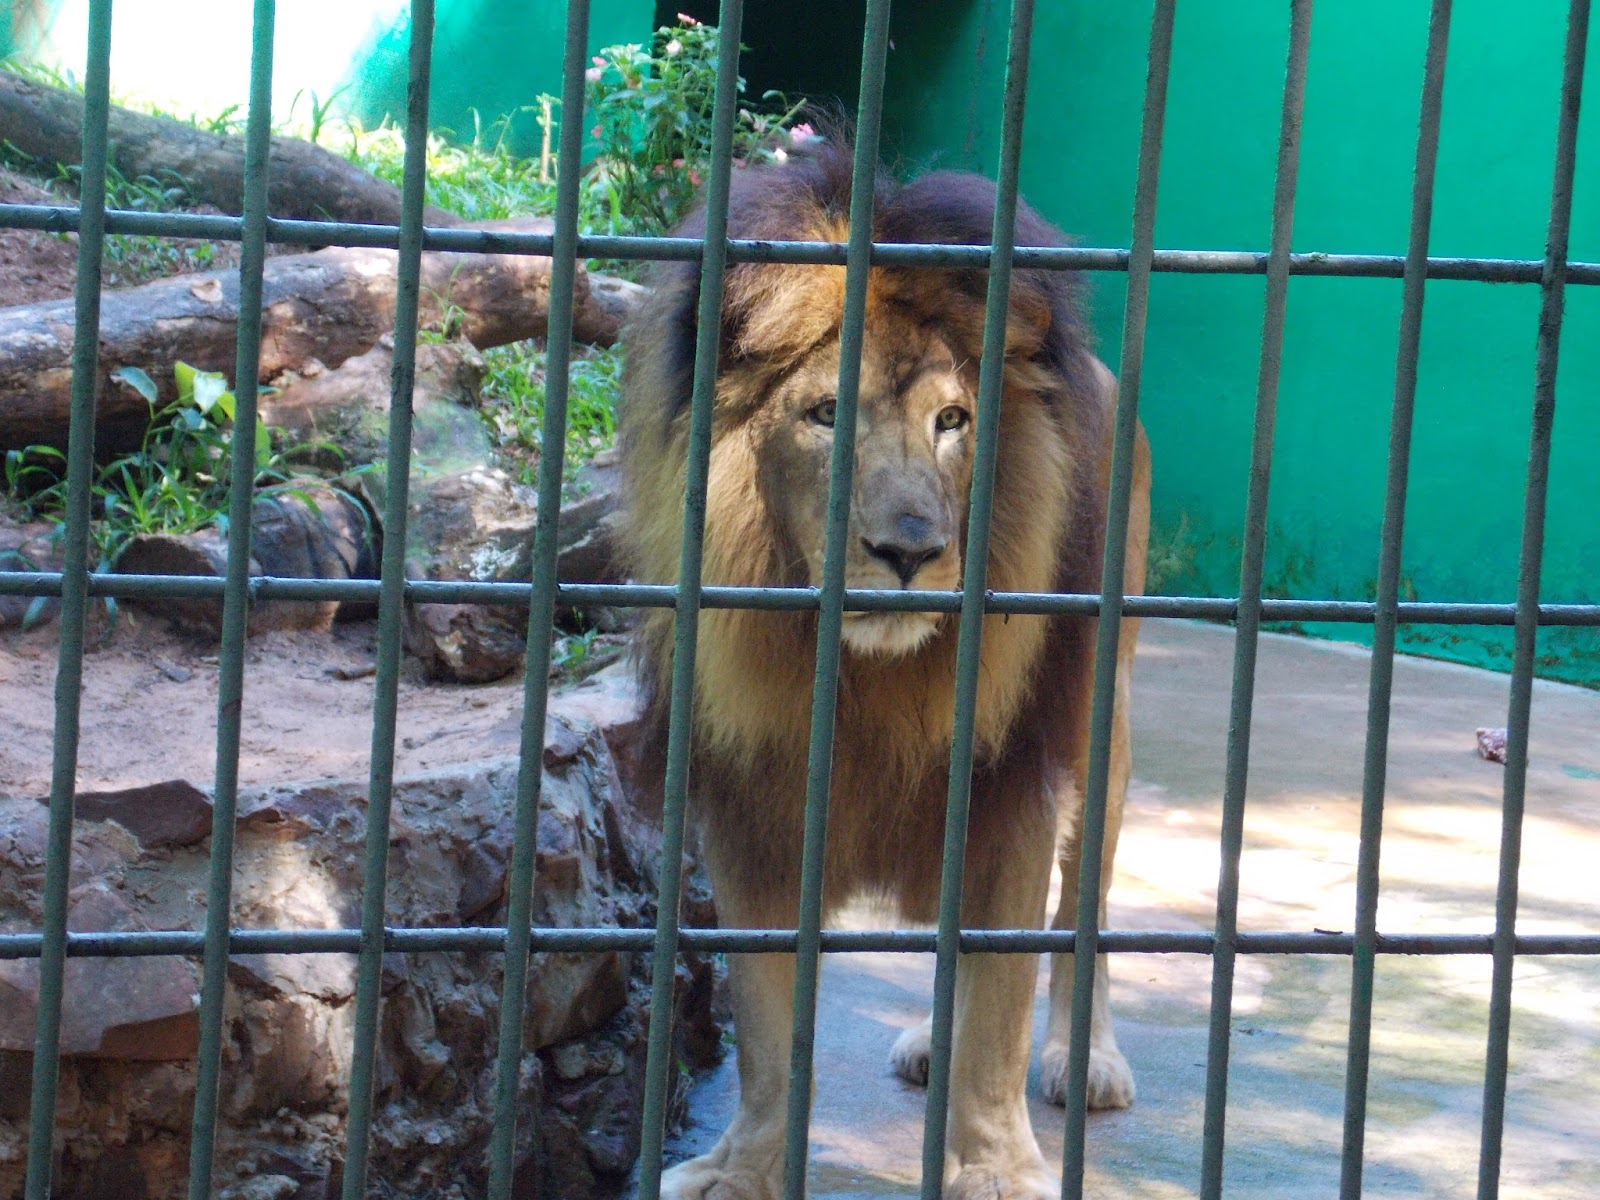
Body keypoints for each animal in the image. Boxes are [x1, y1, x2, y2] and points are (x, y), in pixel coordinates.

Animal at [619, 140, 1150, 1199]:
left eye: (953, 420)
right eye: (827, 414)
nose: (910, 549)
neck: (858, 680)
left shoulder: (1010, 795)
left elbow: (1001, 1012)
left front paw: (997, 1172)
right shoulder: (750, 810)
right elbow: (768, 1031)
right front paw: (745, 1170)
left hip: (1101, 729)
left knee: (1087, 912)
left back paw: (1088, 1058)